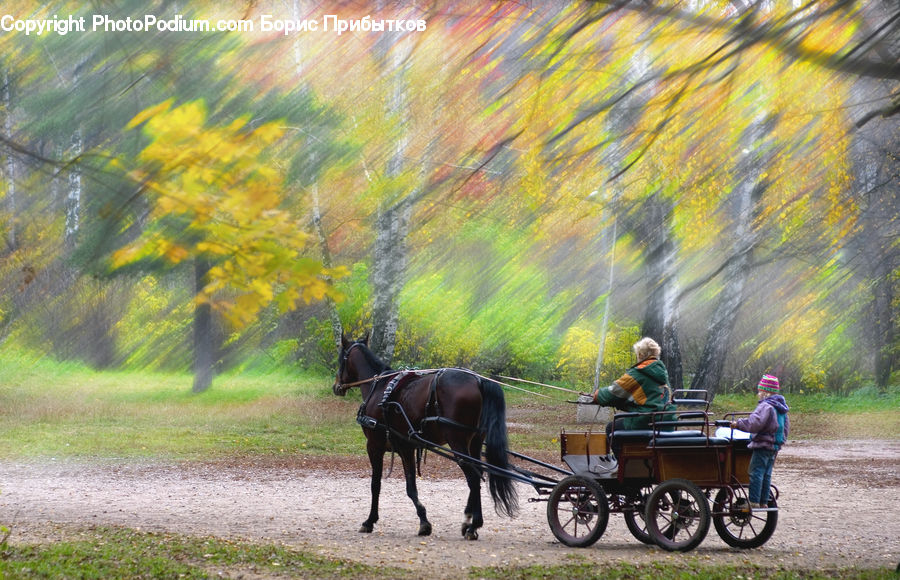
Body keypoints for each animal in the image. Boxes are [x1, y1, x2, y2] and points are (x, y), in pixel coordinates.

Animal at [332, 334, 520, 540]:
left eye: (341, 358)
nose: (336, 386)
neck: (380, 387)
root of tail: (478, 381)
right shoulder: (406, 447)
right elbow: (410, 485)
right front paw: (423, 521)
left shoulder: (375, 445)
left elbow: (378, 485)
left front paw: (371, 521)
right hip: (475, 443)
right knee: (478, 473)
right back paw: (468, 521)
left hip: (457, 442)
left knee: (473, 478)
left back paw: (474, 525)